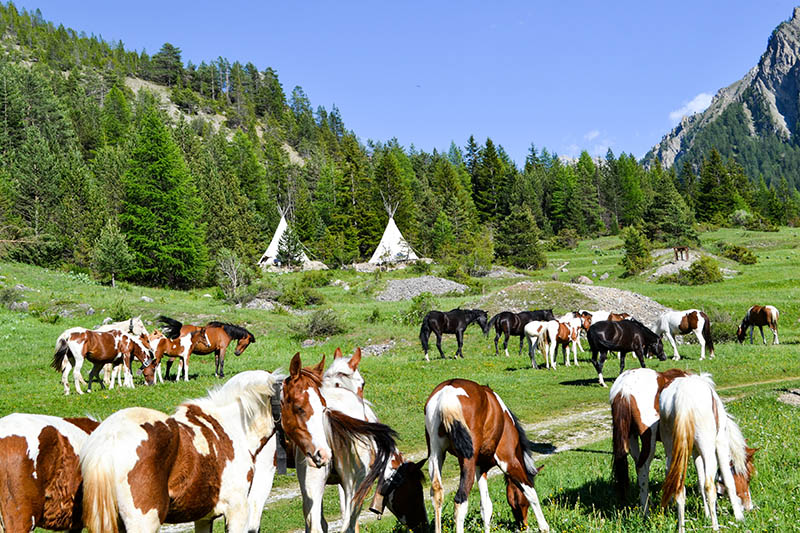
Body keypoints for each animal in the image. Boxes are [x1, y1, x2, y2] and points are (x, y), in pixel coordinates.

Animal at [424, 378, 552, 532]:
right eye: (522, 503)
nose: (523, 526)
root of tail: (448, 393)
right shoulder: (509, 461)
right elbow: (530, 491)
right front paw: (544, 527)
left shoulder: (480, 468)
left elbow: (486, 507)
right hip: (467, 461)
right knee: (460, 501)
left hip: (436, 455)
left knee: (437, 494)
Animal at [656, 372, 756, 528]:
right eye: (747, 478)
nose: (749, 507)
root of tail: (683, 395)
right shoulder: (720, 444)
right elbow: (727, 480)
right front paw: (738, 516)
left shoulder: (695, 452)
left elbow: (700, 481)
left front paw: (707, 515)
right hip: (709, 451)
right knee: (709, 486)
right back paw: (715, 527)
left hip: (672, 452)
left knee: (679, 488)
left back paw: (681, 527)